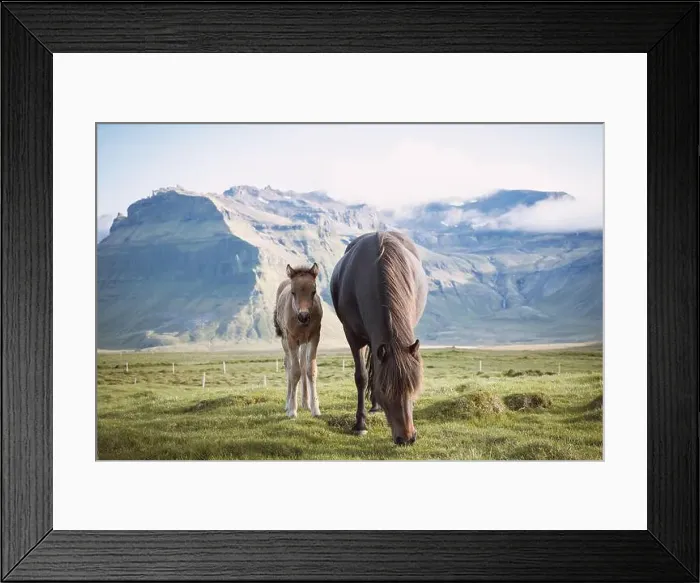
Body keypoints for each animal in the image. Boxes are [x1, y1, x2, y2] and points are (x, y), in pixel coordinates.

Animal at [273, 262, 323, 418]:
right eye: (293, 292)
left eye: (314, 291)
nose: (304, 316)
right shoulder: (291, 339)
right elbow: (294, 372)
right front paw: (292, 411)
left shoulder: (314, 337)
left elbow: (310, 369)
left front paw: (315, 409)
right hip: (285, 342)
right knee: (288, 365)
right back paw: (288, 403)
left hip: (304, 343)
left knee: (302, 365)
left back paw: (306, 403)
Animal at [330, 231, 428, 445]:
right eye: (385, 390)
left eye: (414, 387)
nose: (407, 438)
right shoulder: (352, 336)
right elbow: (362, 377)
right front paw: (360, 425)